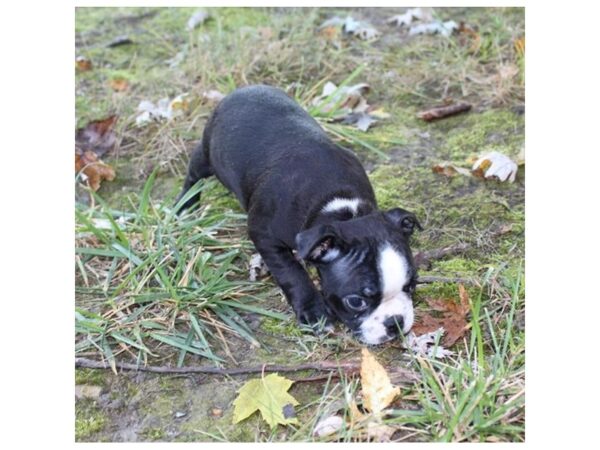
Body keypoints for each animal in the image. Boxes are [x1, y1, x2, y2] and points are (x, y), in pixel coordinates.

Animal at [177, 84, 422, 344]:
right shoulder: (264, 235)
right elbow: (291, 272)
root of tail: (243, 90)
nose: (395, 322)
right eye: (356, 302)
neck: (343, 210)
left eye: (412, 286)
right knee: (193, 176)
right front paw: (314, 311)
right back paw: (185, 207)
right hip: (207, 154)